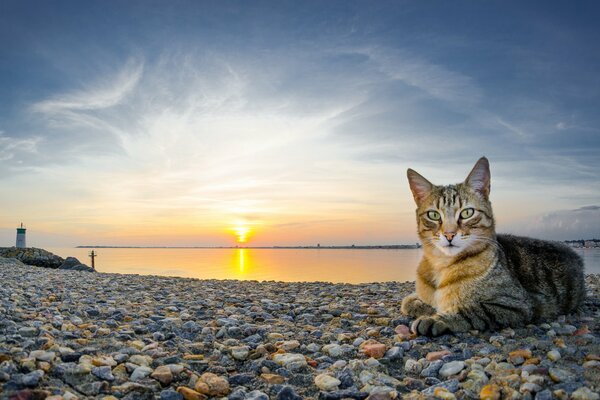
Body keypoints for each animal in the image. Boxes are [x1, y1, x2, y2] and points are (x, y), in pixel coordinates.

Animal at [400, 156, 584, 334]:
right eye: (434, 215)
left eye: (467, 213)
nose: (449, 234)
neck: (441, 264)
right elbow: (409, 301)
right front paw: (421, 304)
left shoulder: (516, 304)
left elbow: (471, 309)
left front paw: (438, 319)